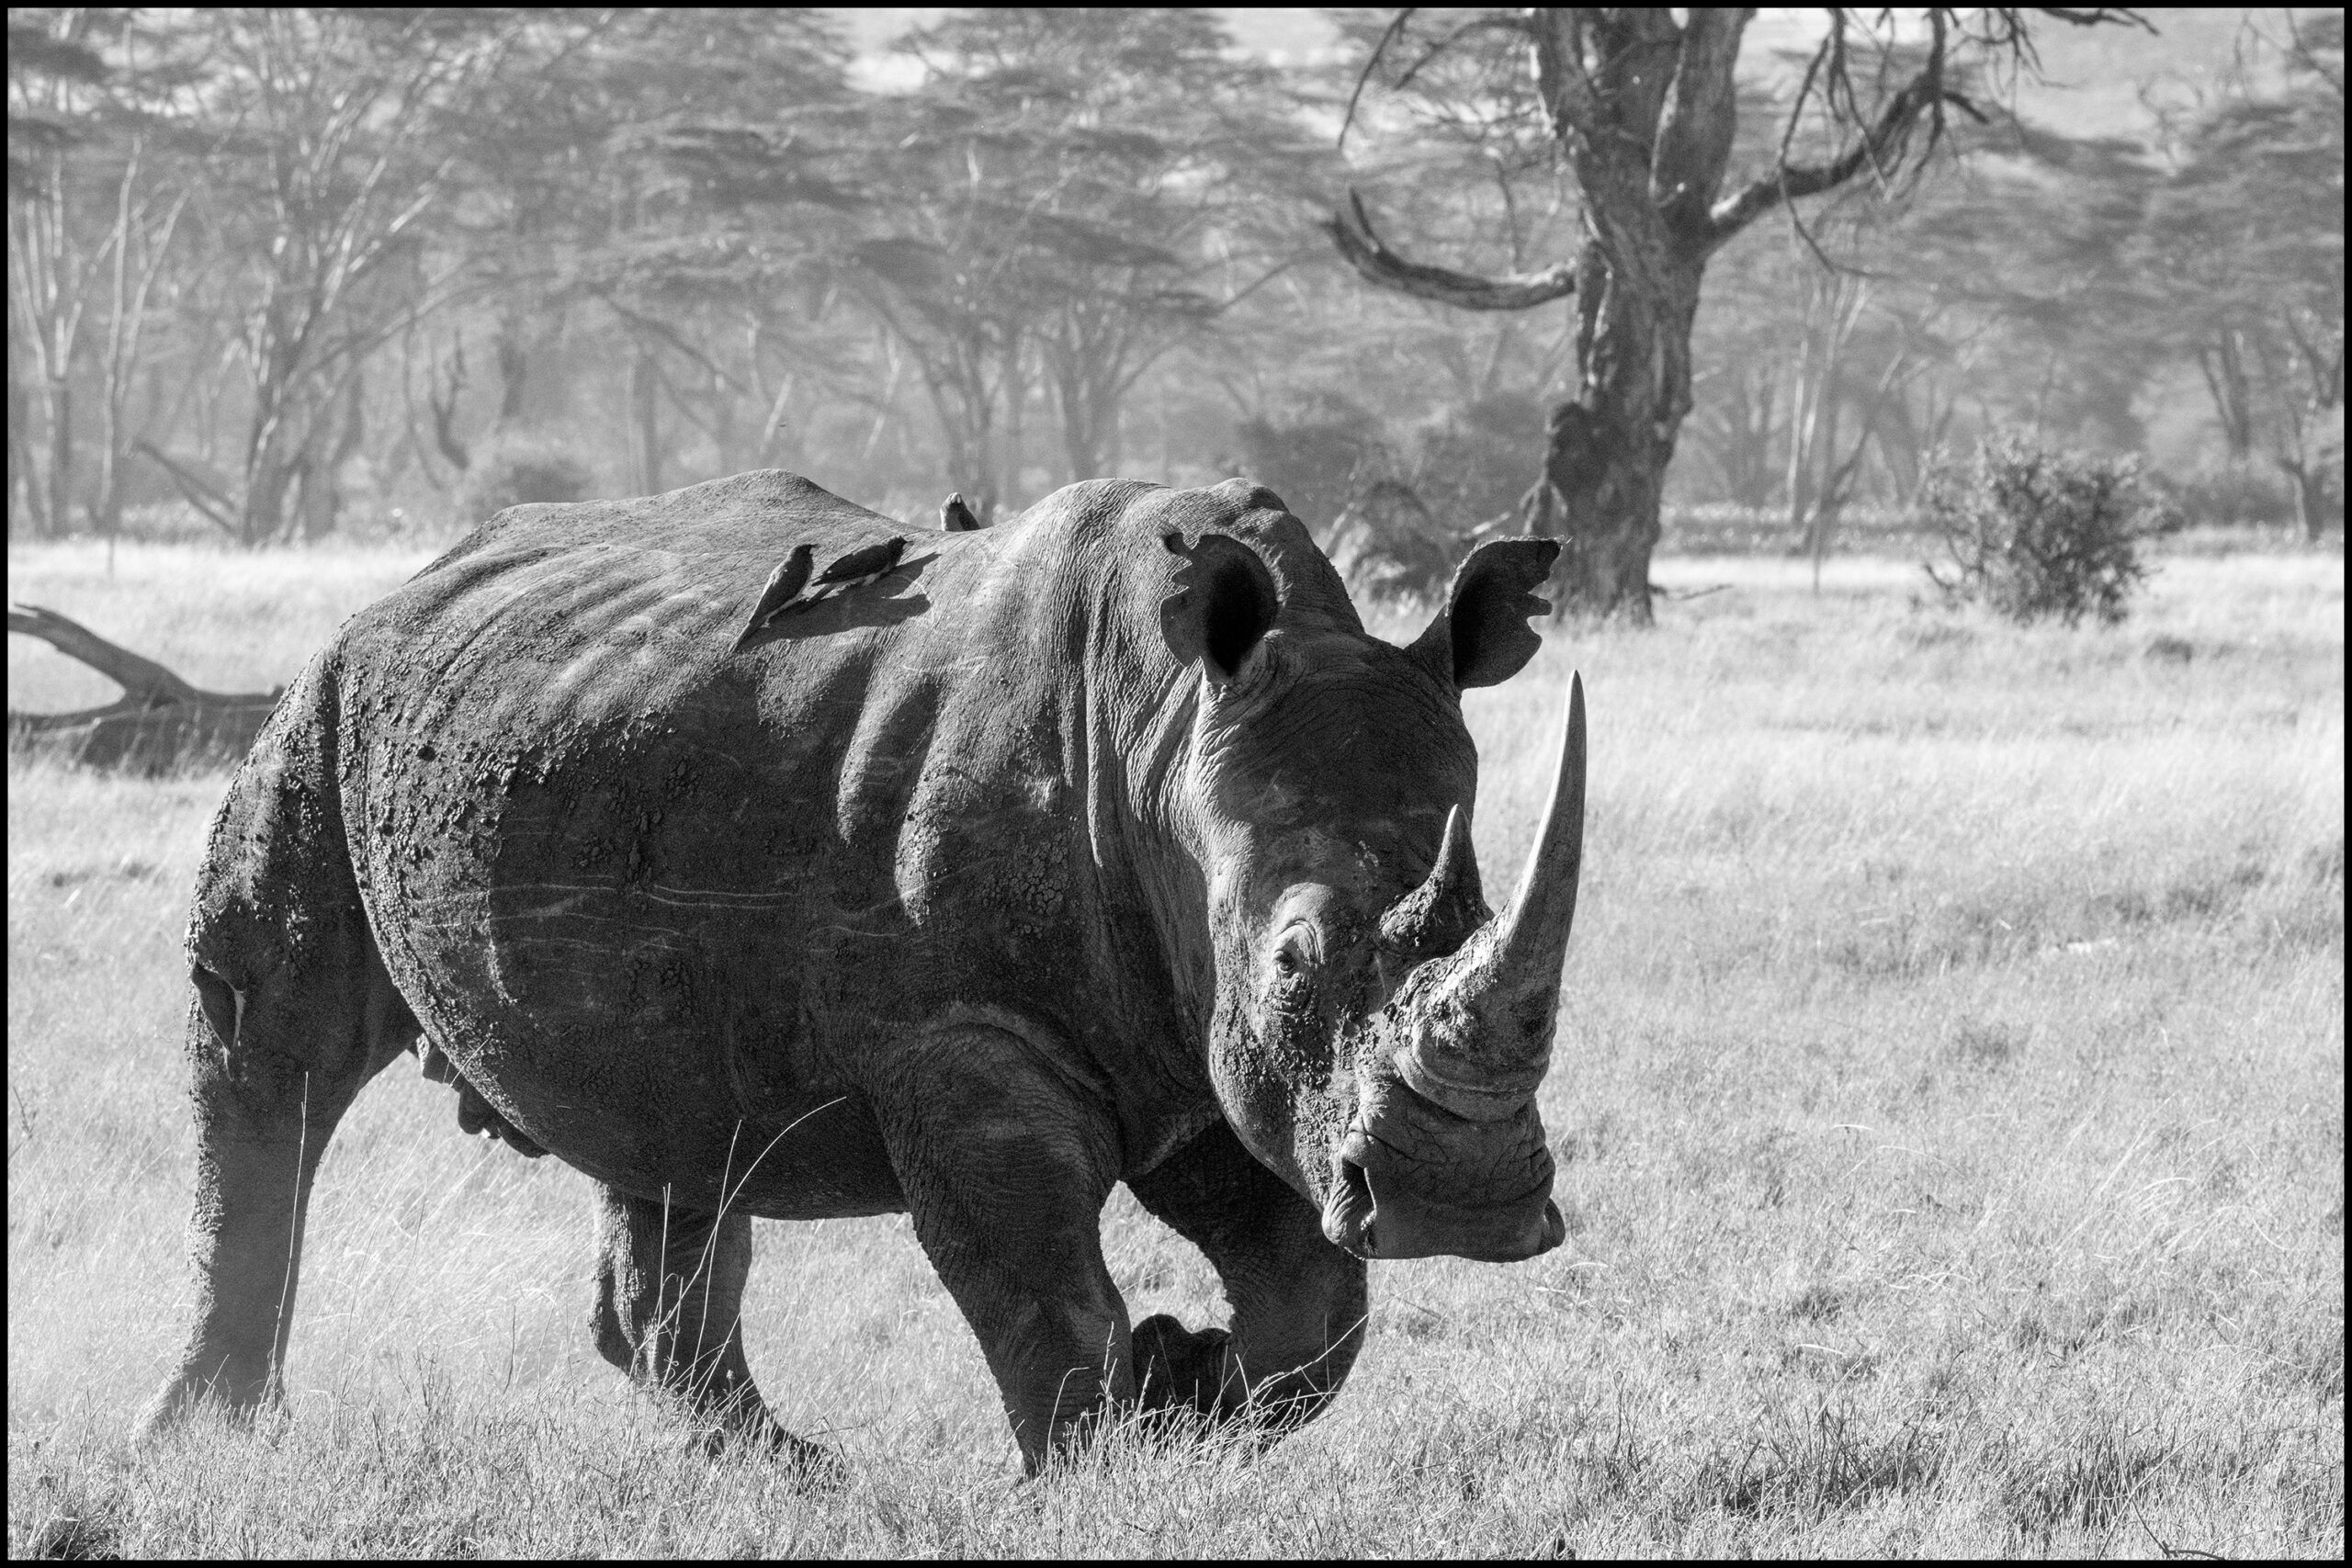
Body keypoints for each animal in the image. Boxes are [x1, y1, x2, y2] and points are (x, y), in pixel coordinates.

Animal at [140, 470, 1586, 1472]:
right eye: (1293, 961)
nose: (1462, 1204)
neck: (1170, 738)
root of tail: (412, 577)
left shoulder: (1196, 1046)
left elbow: (1314, 1304)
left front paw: (1184, 1387)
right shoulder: (968, 1036)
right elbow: (1043, 1293)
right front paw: (1101, 1471)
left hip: (592, 751)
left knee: (675, 1137)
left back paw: (803, 1479)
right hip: (328, 697)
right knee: (269, 1042)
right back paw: (206, 1441)